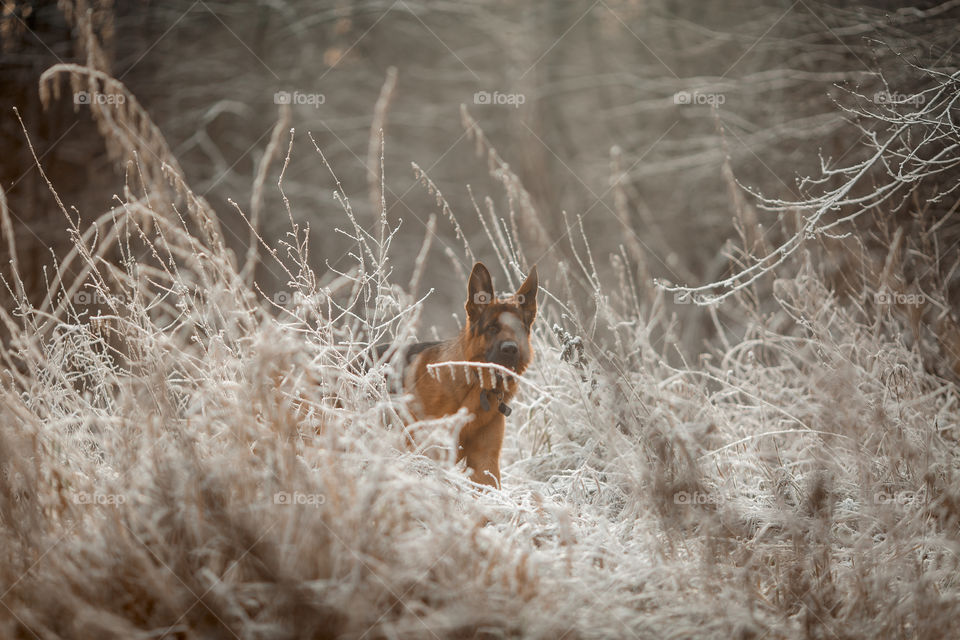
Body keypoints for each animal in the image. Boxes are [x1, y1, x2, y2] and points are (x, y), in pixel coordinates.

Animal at [376, 262, 540, 488]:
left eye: (518, 330)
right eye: (492, 328)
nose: (510, 349)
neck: (476, 386)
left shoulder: (485, 463)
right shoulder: (428, 451)